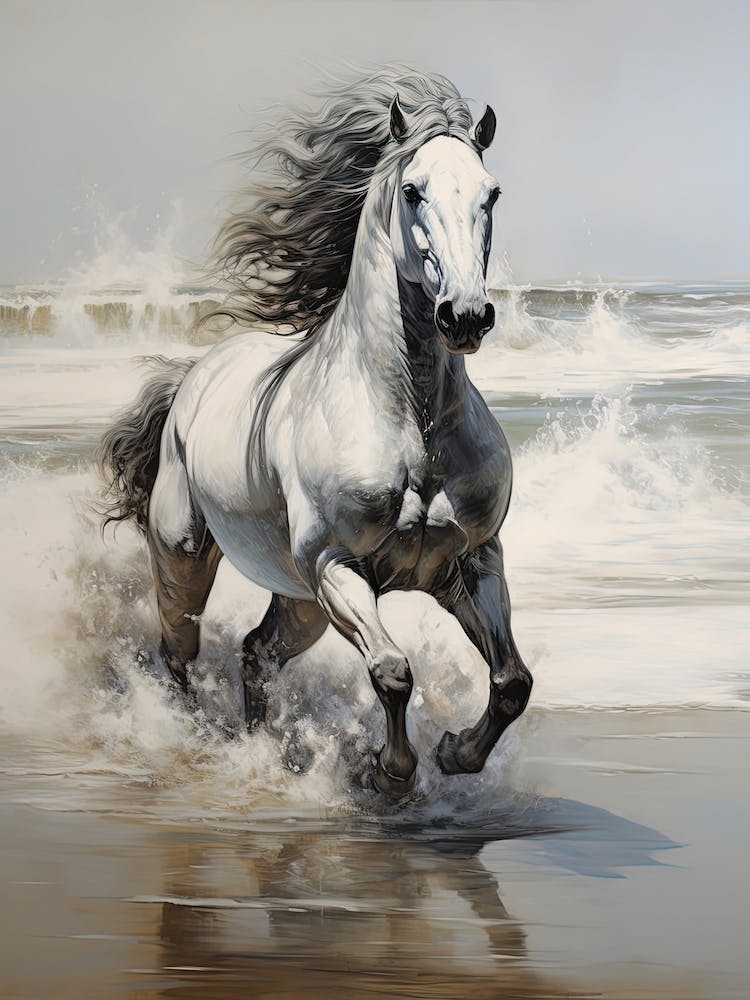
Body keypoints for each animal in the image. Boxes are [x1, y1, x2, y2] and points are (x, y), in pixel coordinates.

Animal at [98, 67, 532, 798]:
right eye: (413, 191)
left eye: (491, 193)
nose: (466, 316)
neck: (410, 421)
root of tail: (193, 377)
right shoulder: (336, 567)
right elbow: (394, 672)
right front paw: (386, 771)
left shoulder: (471, 562)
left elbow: (510, 683)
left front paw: (454, 754)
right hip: (189, 560)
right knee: (178, 650)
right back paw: (193, 742)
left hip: (298, 602)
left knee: (256, 653)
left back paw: (267, 752)